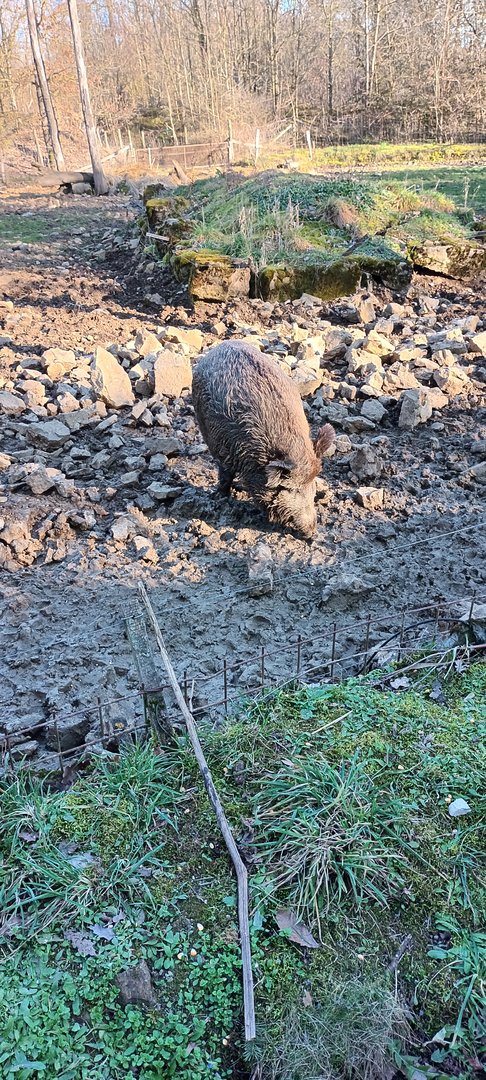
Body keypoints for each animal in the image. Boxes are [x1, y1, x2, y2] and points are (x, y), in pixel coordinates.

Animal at [192, 340, 335, 538]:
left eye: (312, 484)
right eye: (291, 489)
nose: (312, 532)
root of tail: (222, 345)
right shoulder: (223, 451)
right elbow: (224, 475)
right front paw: (219, 496)